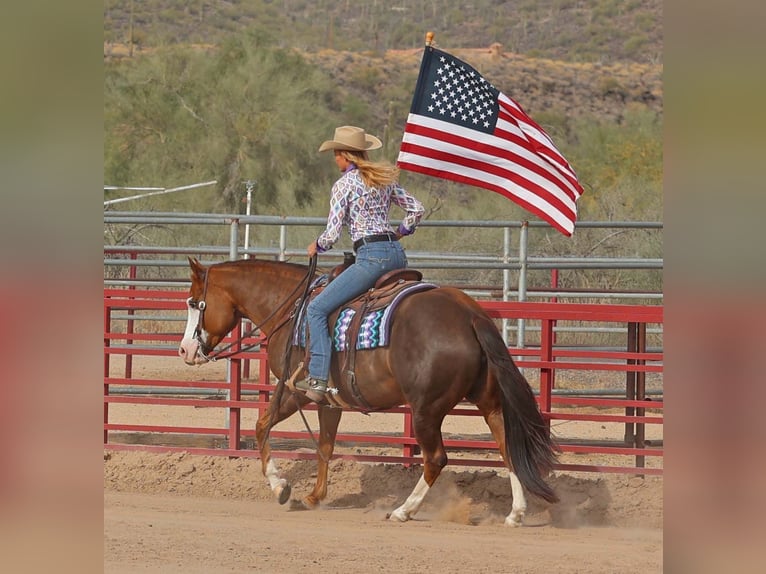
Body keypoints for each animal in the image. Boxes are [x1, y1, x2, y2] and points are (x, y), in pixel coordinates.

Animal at [182, 258, 564, 528]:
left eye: (195, 302)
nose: (185, 350)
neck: (293, 310)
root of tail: (470, 316)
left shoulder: (294, 389)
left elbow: (262, 426)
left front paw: (281, 487)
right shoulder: (328, 399)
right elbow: (324, 445)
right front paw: (315, 496)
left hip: (426, 410)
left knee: (436, 459)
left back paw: (403, 510)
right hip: (489, 402)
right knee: (507, 448)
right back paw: (516, 513)